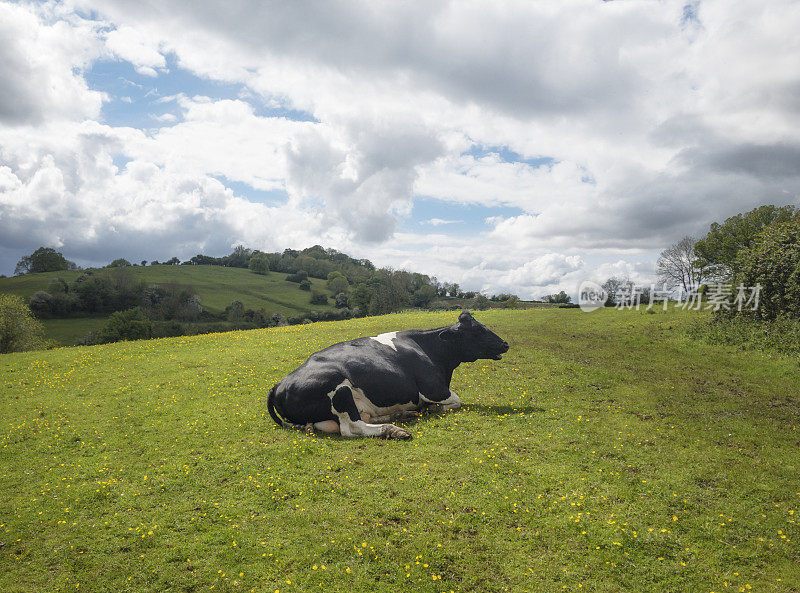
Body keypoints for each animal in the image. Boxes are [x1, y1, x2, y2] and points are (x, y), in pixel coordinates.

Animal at [268, 312, 506, 438]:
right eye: (477, 331)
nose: (505, 344)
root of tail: (280, 383)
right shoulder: (433, 389)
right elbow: (456, 400)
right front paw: (432, 408)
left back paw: (400, 415)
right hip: (339, 389)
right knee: (352, 427)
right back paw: (394, 429)